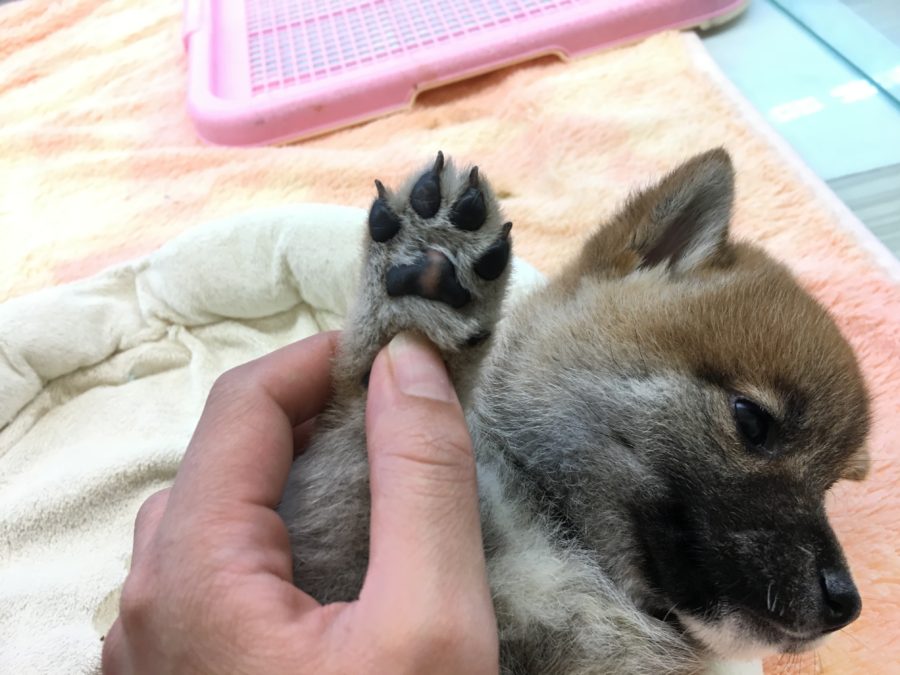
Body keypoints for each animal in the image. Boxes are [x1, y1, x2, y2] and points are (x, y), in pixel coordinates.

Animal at [278, 151, 868, 672]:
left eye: (829, 487)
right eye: (751, 421)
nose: (846, 603)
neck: (569, 539)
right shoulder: (328, 559)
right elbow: (357, 442)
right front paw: (415, 294)